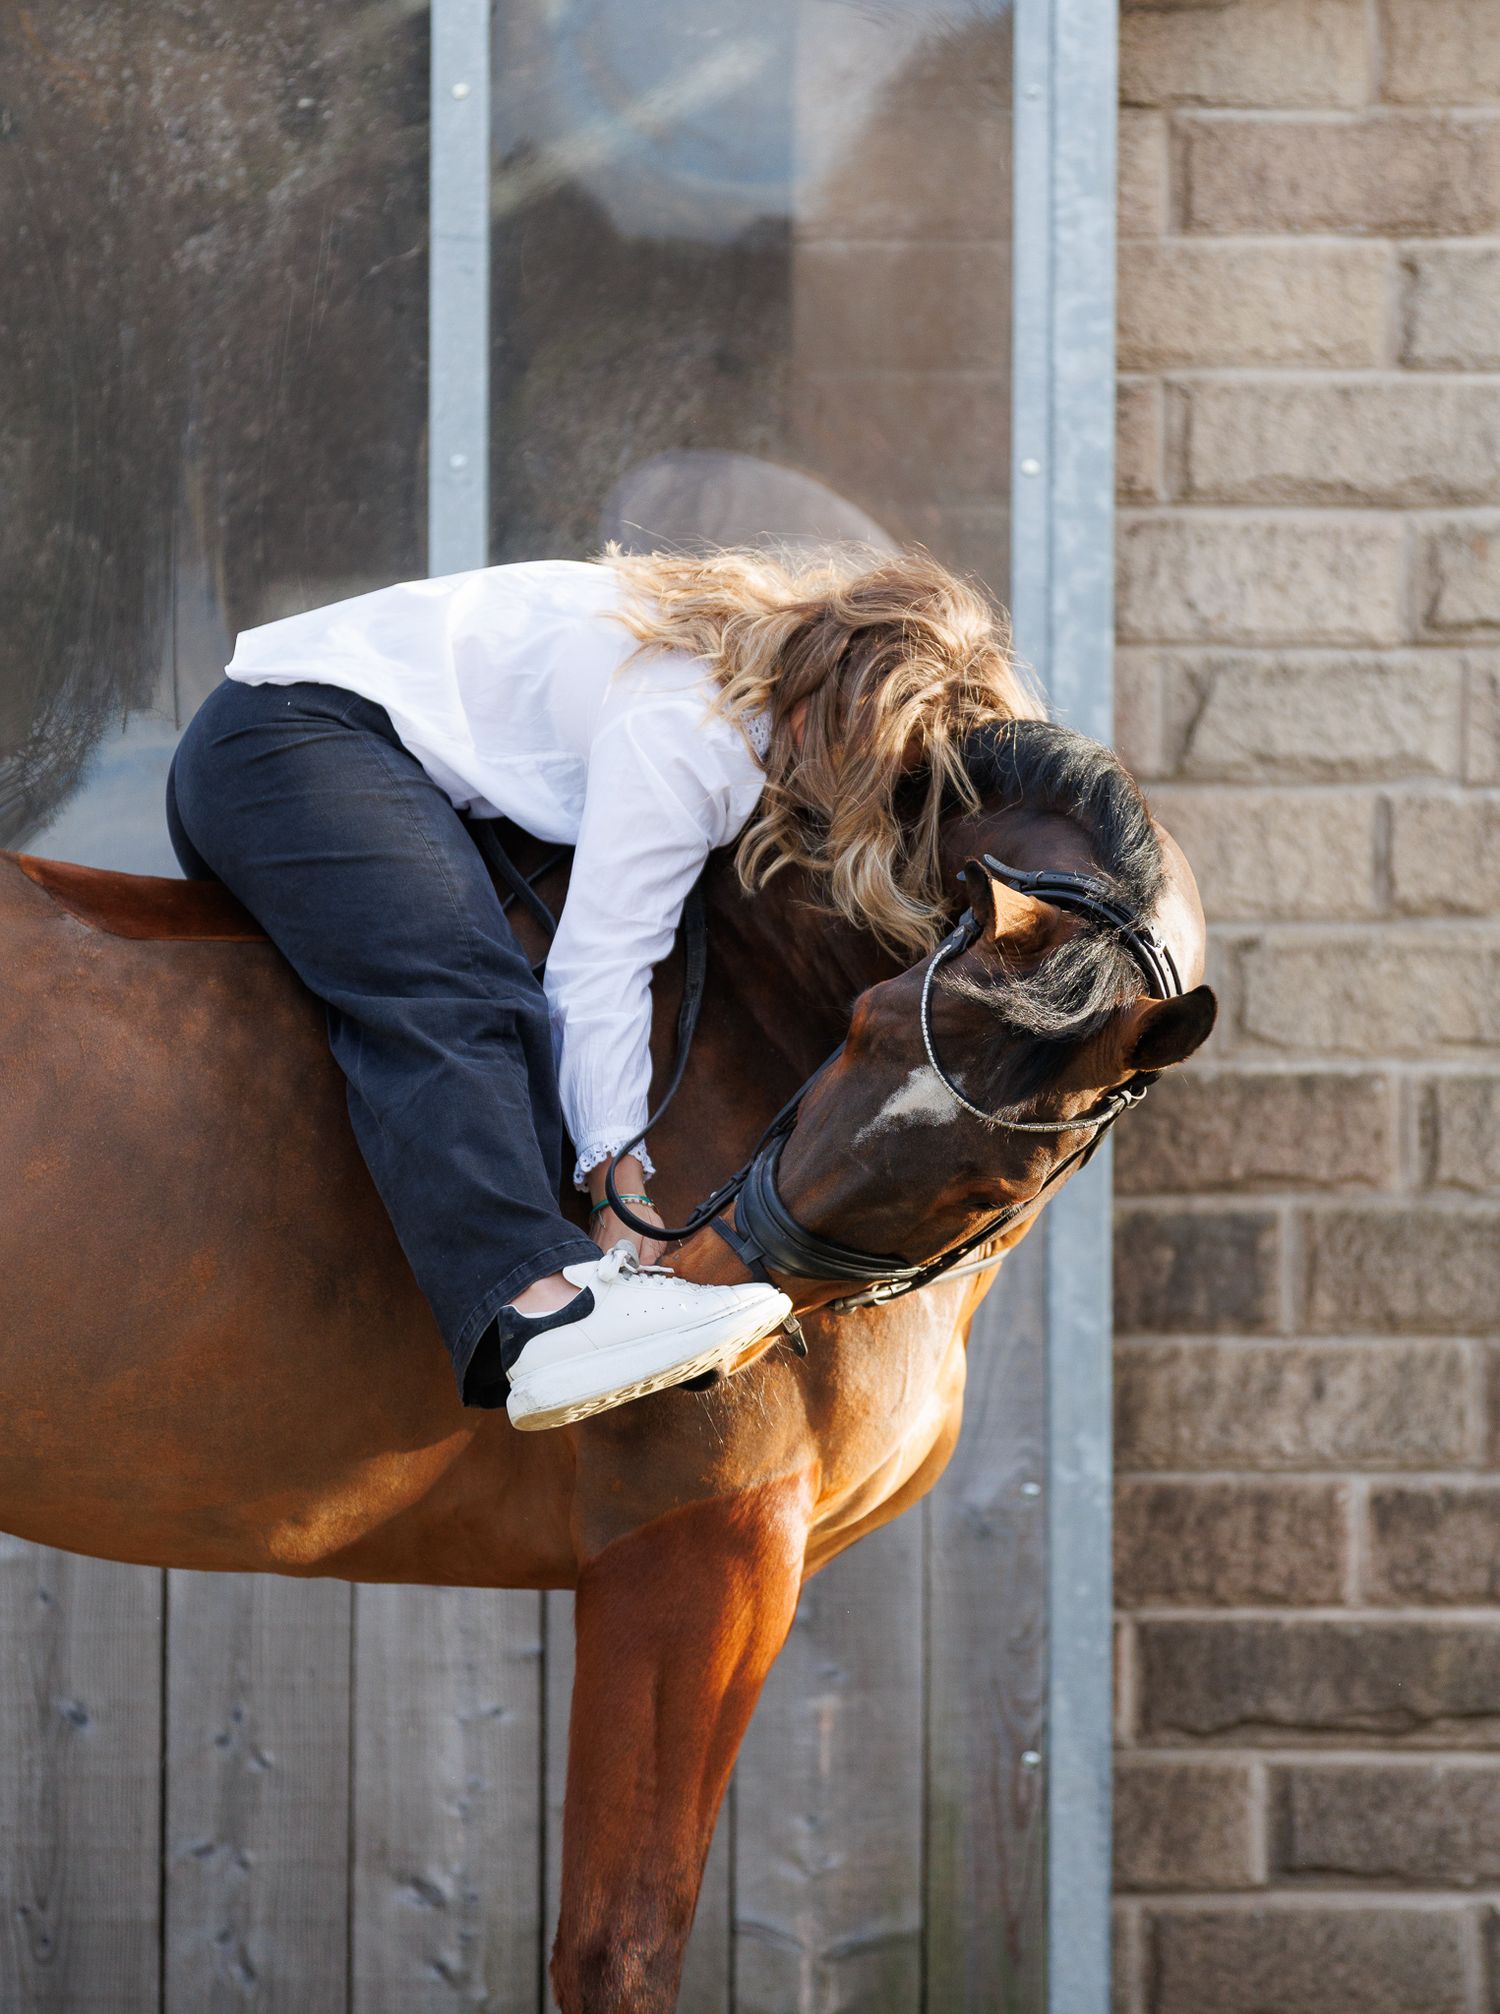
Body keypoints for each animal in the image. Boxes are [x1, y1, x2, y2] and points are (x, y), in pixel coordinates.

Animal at [0, 719, 1214, 2012]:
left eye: (989, 1180)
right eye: (862, 1024)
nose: (711, 1277)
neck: (754, 1000)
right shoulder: (700, 1544)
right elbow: (619, 1944)